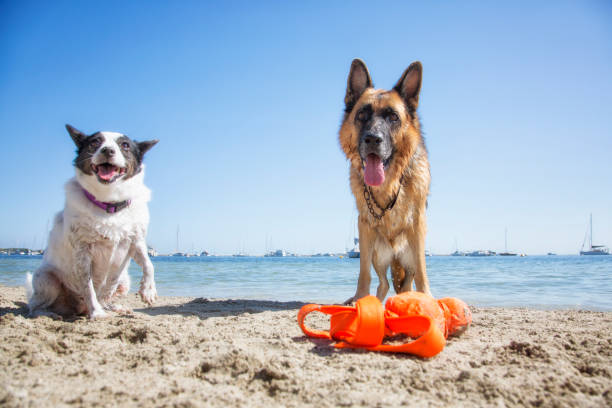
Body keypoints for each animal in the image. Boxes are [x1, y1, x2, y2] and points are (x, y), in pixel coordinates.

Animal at [26, 124, 160, 318]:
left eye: (125, 145)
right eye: (95, 142)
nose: (108, 150)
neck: (110, 204)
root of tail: (79, 309)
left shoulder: (136, 240)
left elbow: (149, 264)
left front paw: (148, 290)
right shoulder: (82, 252)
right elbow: (87, 287)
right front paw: (96, 313)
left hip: (123, 280)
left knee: (106, 297)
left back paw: (114, 307)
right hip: (47, 278)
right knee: (34, 305)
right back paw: (48, 314)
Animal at [340, 59, 430, 304]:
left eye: (393, 117)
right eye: (362, 114)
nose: (373, 139)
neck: (390, 182)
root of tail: (394, 254)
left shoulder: (418, 224)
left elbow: (422, 270)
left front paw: (428, 297)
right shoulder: (364, 226)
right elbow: (363, 272)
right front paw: (360, 297)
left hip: (408, 254)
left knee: (407, 282)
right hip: (377, 254)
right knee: (384, 282)